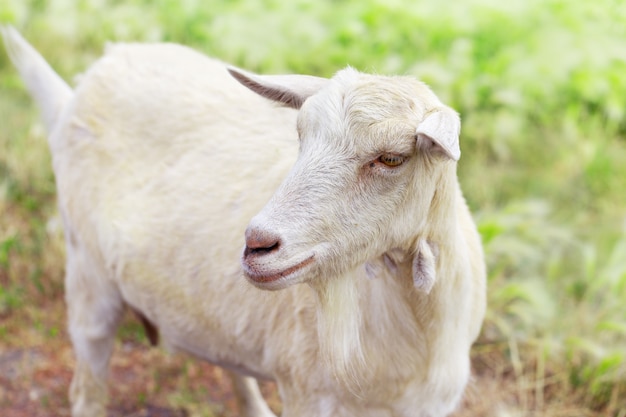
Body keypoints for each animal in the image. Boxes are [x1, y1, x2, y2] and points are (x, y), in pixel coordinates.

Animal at [2, 26, 486, 416]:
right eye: (300, 135)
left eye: (391, 158)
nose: (258, 243)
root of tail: (79, 88)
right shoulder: (308, 393)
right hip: (87, 275)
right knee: (87, 386)